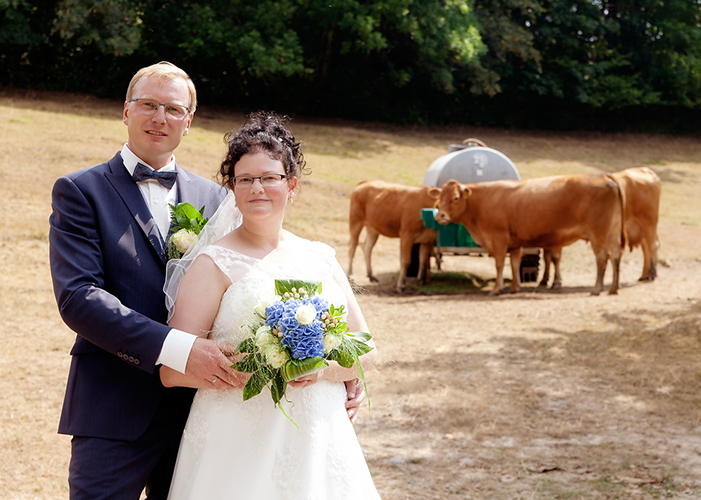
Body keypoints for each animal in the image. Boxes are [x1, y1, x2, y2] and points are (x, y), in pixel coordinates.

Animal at [434, 174, 628, 294]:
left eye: (455, 198)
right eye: (439, 199)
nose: (439, 215)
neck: (482, 201)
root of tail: (605, 176)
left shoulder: (498, 238)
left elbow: (499, 264)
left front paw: (496, 289)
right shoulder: (515, 243)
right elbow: (514, 264)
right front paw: (514, 287)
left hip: (598, 234)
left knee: (602, 257)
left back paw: (596, 289)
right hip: (613, 233)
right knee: (615, 256)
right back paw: (613, 288)